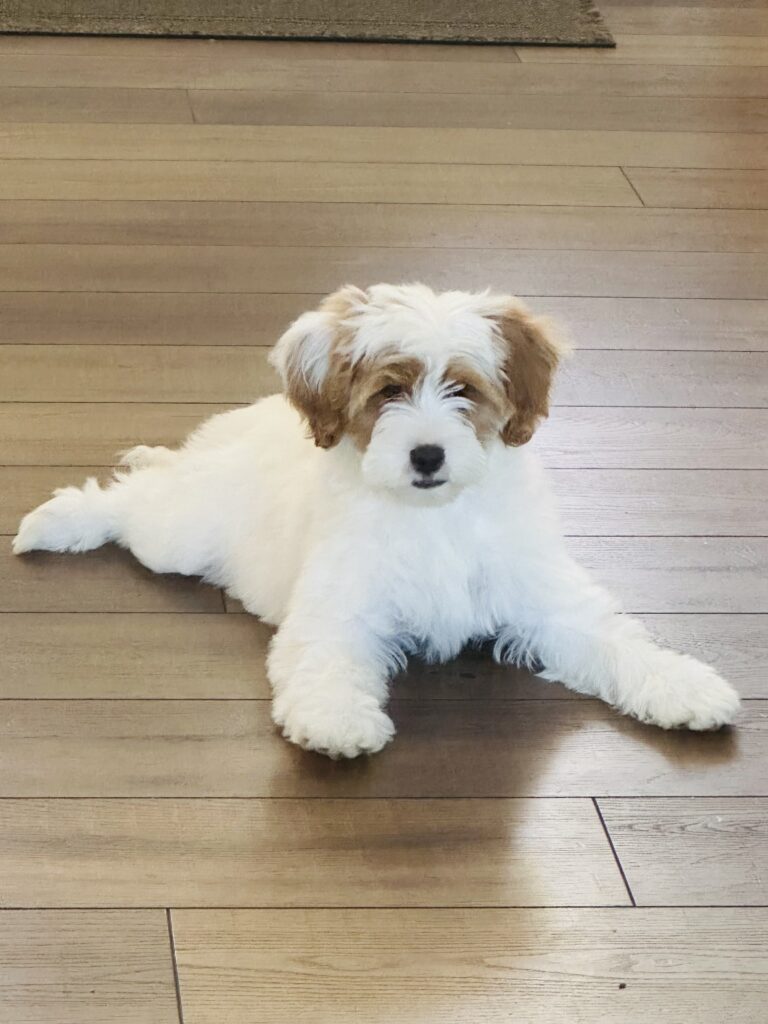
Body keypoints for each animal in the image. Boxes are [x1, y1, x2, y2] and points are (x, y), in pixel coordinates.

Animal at [14, 283, 740, 758]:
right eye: (390, 390)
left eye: (463, 390)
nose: (427, 454)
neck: (433, 516)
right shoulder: (340, 603)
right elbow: (327, 656)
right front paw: (334, 719)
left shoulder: (545, 595)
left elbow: (613, 639)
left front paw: (684, 686)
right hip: (180, 534)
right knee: (129, 503)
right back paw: (61, 519)